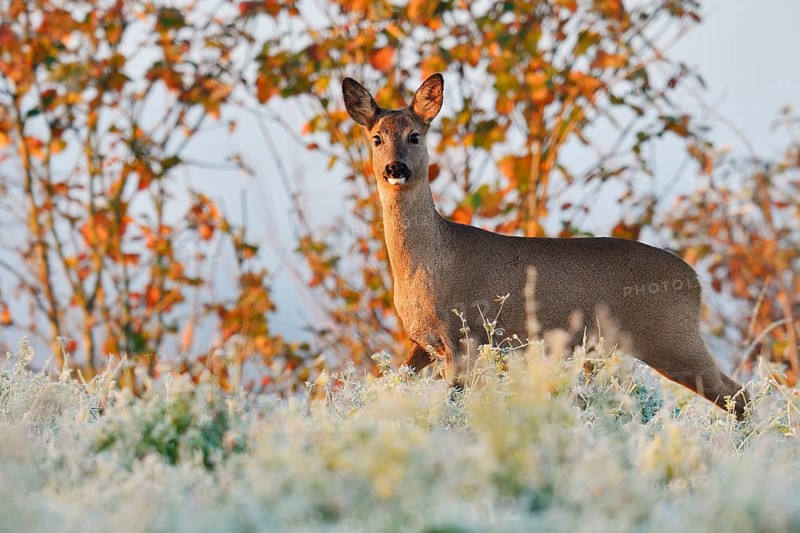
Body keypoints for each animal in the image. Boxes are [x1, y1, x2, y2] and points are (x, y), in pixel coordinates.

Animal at [342, 73, 750, 419]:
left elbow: (453, 405)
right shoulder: (423, 342)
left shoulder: (462, 337)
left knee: (738, 394)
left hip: (671, 337)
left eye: (415, 136)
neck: (427, 261)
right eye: (376, 138)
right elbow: (389, 385)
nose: (395, 168)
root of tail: (695, 280)